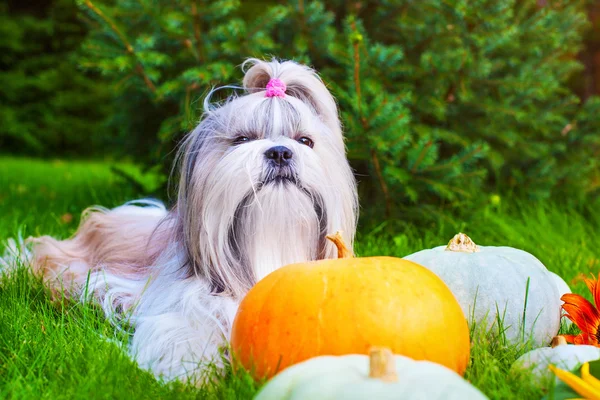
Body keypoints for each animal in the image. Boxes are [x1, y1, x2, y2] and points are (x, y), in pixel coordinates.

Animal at [1, 58, 356, 382]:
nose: (281, 151)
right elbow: (183, 330)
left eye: (305, 141)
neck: (269, 245)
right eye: (242, 139)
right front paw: (190, 371)